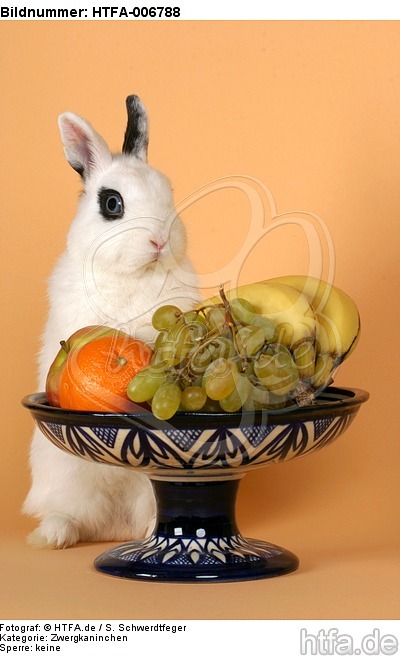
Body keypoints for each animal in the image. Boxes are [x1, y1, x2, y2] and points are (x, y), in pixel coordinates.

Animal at [23, 95, 200, 548]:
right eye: (112, 204)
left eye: (169, 194)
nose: (160, 241)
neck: (134, 273)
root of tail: (114, 526)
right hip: (63, 473)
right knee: (69, 514)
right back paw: (56, 535)